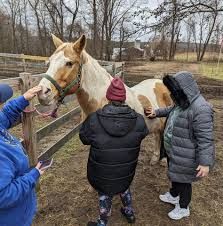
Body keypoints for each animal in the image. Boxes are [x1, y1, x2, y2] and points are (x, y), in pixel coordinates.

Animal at [37, 34, 172, 164]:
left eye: (69, 63)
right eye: (49, 62)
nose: (42, 92)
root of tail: (160, 82)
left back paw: (163, 160)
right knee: (157, 136)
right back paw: (155, 158)